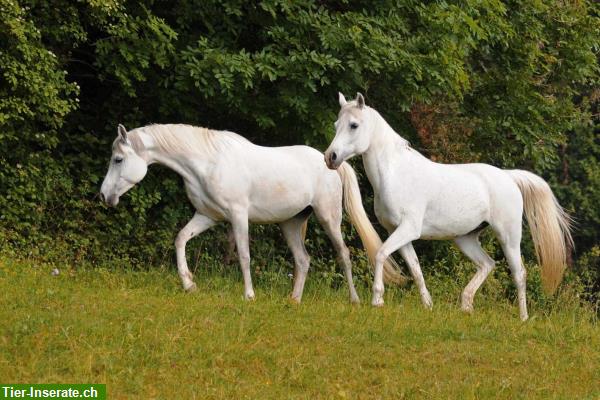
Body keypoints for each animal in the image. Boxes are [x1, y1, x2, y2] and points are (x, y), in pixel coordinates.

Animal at [101, 123, 406, 302]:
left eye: (118, 159)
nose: (104, 196)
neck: (207, 162)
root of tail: (330, 162)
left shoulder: (238, 215)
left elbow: (244, 256)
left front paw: (249, 295)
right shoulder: (208, 216)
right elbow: (180, 239)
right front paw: (189, 285)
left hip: (328, 218)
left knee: (343, 255)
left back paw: (354, 300)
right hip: (290, 224)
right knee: (303, 260)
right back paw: (294, 301)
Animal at [324, 92, 572, 320]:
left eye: (354, 125)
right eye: (336, 125)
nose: (330, 157)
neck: (396, 173)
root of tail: (509, 177)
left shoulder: (408, 229)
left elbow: (381, 254)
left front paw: (377, 299)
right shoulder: (399, 232)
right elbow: (416, 269)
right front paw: (428, 306)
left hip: (508, 236)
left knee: (519, 273)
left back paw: (522, 318)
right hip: (465, 239)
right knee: (487, 264)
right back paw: (466, 306)